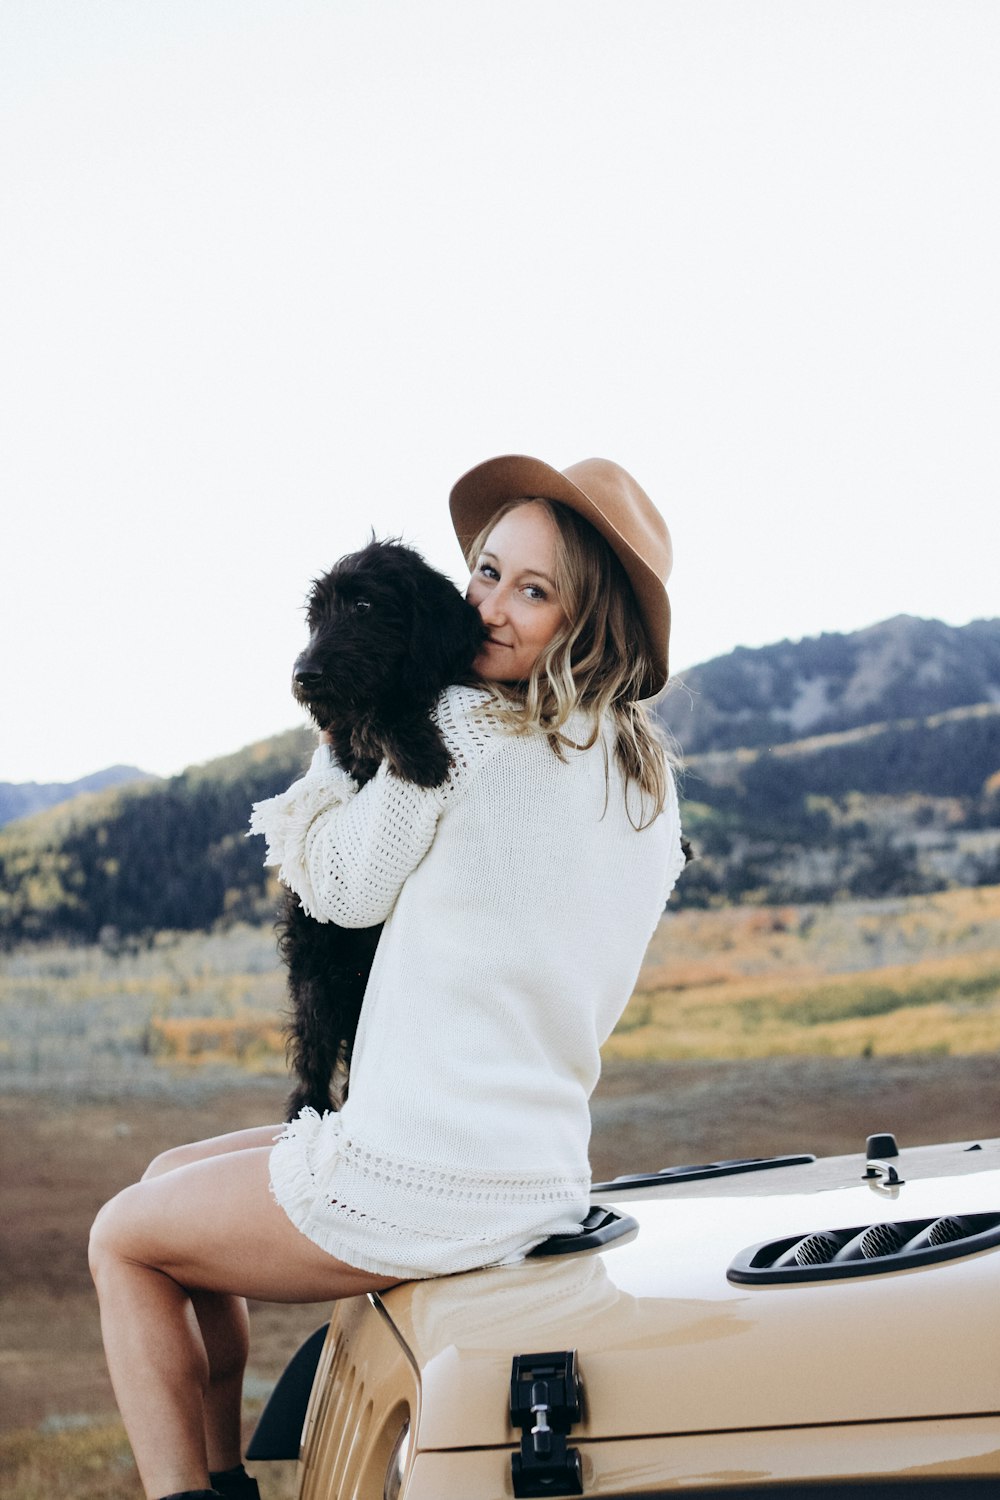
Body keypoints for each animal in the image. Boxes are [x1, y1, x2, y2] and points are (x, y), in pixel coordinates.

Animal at [280, 546, 485, 1122]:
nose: (302, 675)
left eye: (364, 605)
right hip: (317, 979)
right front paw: (420, 751)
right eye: (314, 618)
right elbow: (366, 717)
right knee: (313, 1066)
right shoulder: (347, 741)